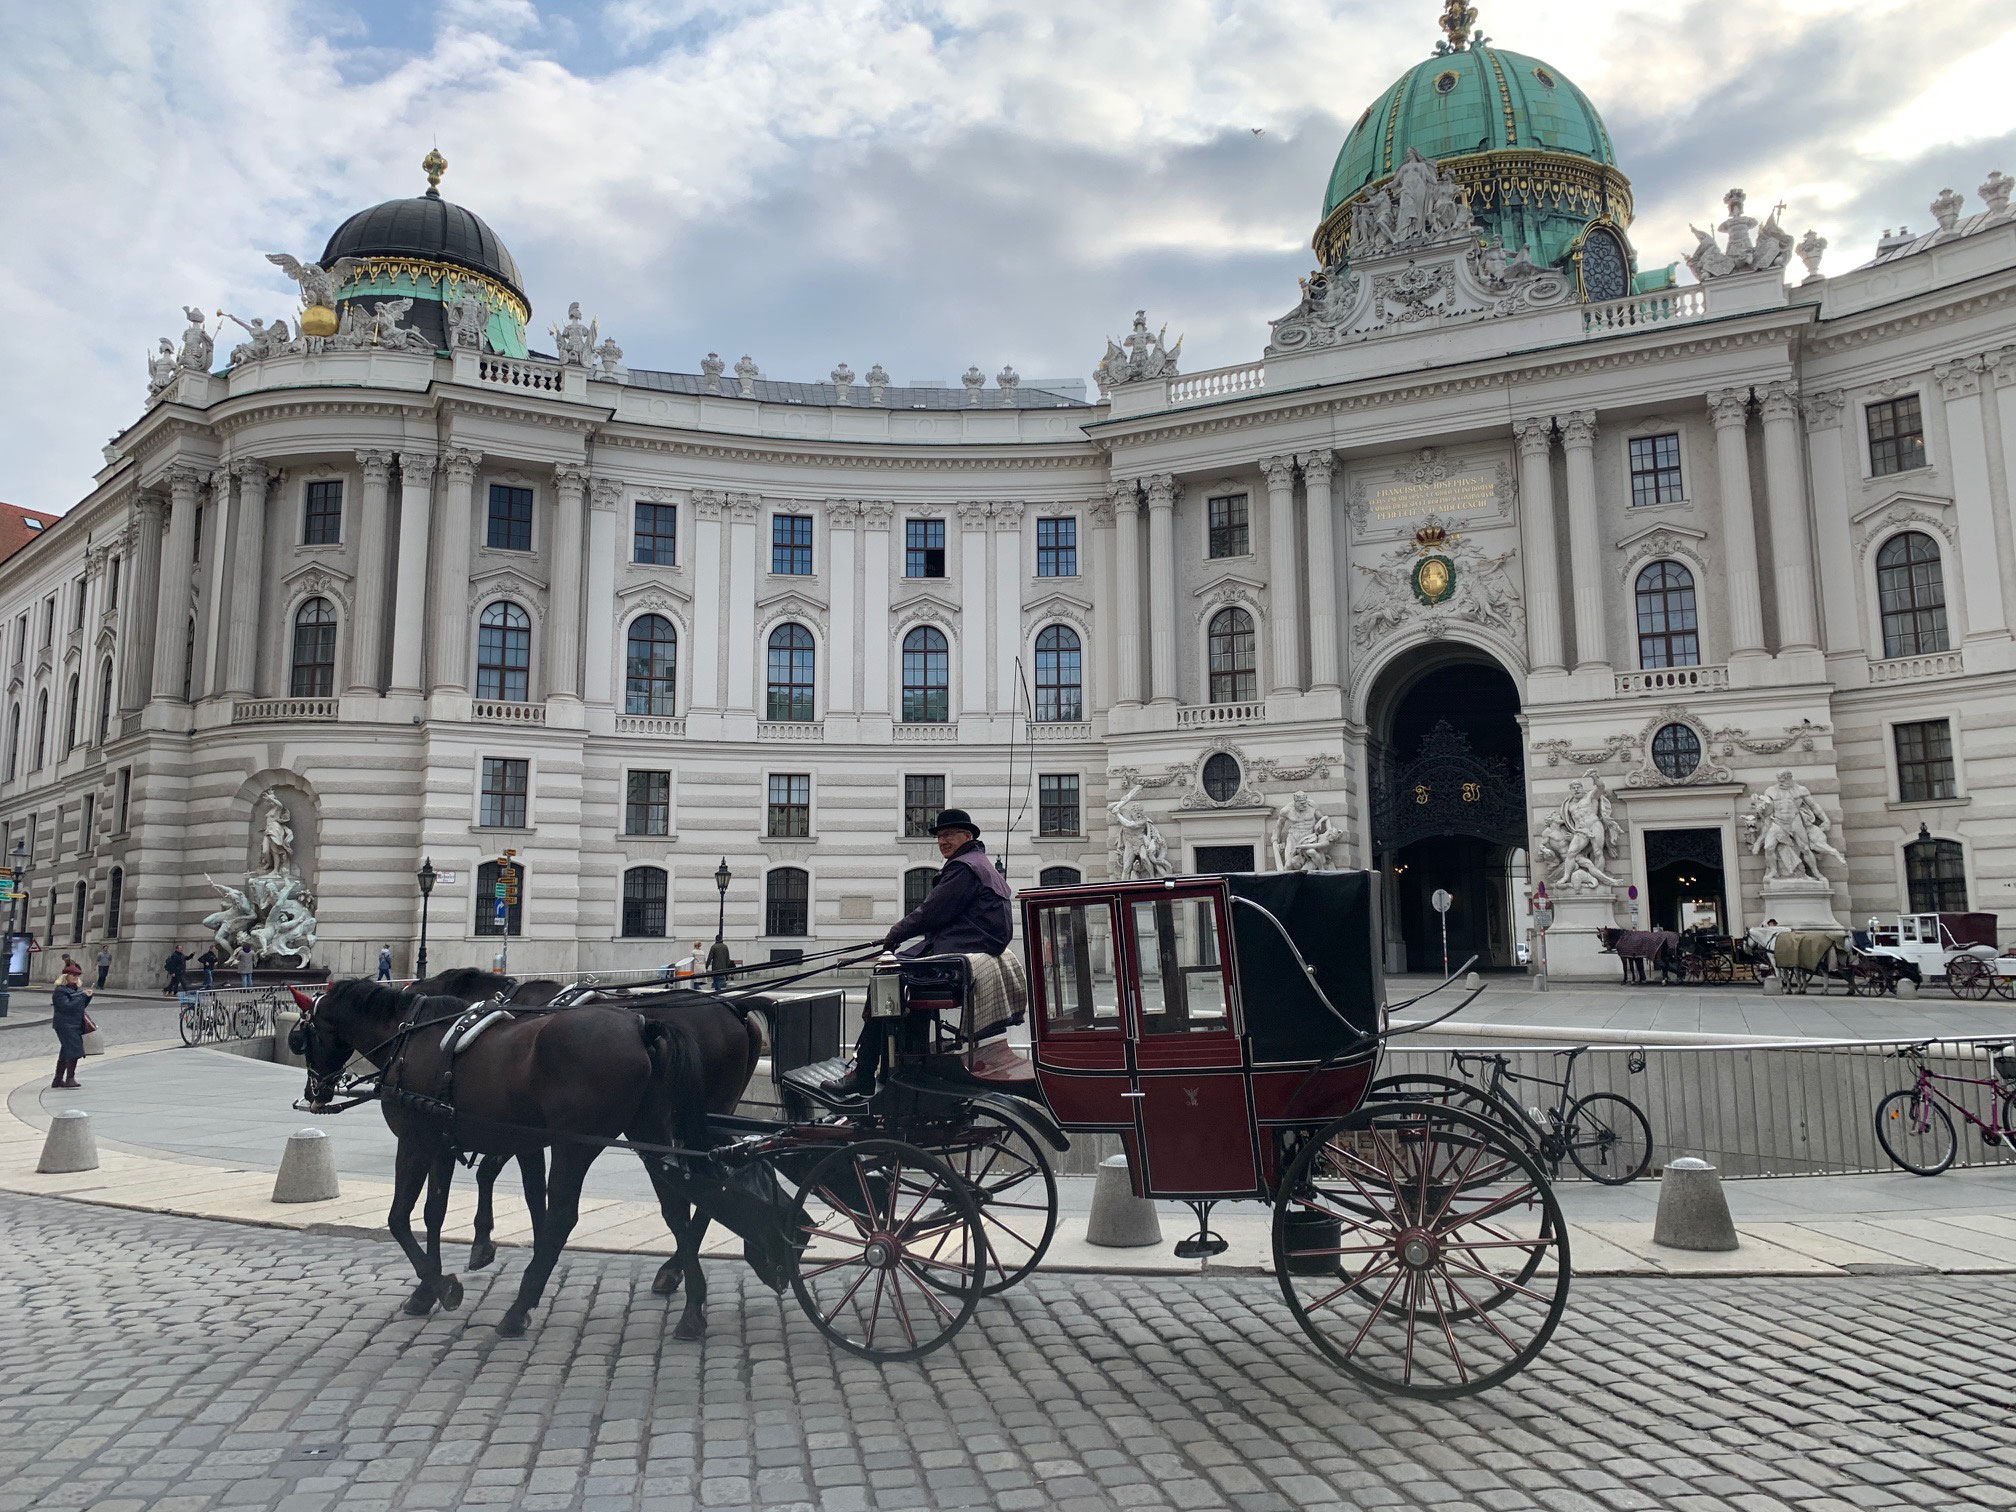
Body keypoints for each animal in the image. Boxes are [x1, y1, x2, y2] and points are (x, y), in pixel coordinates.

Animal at [298, 975, 786, 1346]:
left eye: (303, 1037)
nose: (314, 1094)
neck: (412, 1038)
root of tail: (645, 1026)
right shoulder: (463, 1142)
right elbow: (439, 1211)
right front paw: (429, 1287)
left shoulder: (420, 1141)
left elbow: (402, 1216)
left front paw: (446, 1280)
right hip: (651, 1129)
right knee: (679, 1203)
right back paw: (689, 1302)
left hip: (582, 1143)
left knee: (569, 1215)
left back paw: (520, 1307)